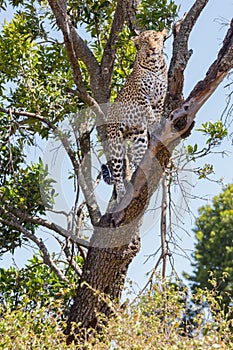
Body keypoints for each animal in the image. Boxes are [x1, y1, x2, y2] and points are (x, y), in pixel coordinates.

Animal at [102, 30, 167, 204]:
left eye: (156, 39)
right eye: (145, 42)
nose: (152, 48)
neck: (154, 65)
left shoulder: (160, 97)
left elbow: (157, 112)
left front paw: (157, 125)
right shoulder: (142, 96)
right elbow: (149, 113)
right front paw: (155, 125)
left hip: (139, 135)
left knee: (138, 154)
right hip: (116, 144)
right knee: (117, 173)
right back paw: (121, 193)